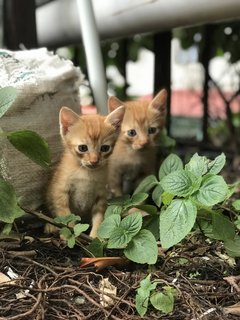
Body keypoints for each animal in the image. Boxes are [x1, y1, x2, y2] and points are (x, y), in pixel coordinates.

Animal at [45, 105, 124, 238]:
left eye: (105, 148)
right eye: (83, 148)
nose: (94, 161)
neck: (86, 174)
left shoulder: (101, 195)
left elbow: (99, 217)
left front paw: (97, 236)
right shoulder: (60, 191)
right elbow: (66, 215)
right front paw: (70, 234)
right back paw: (51, 227)